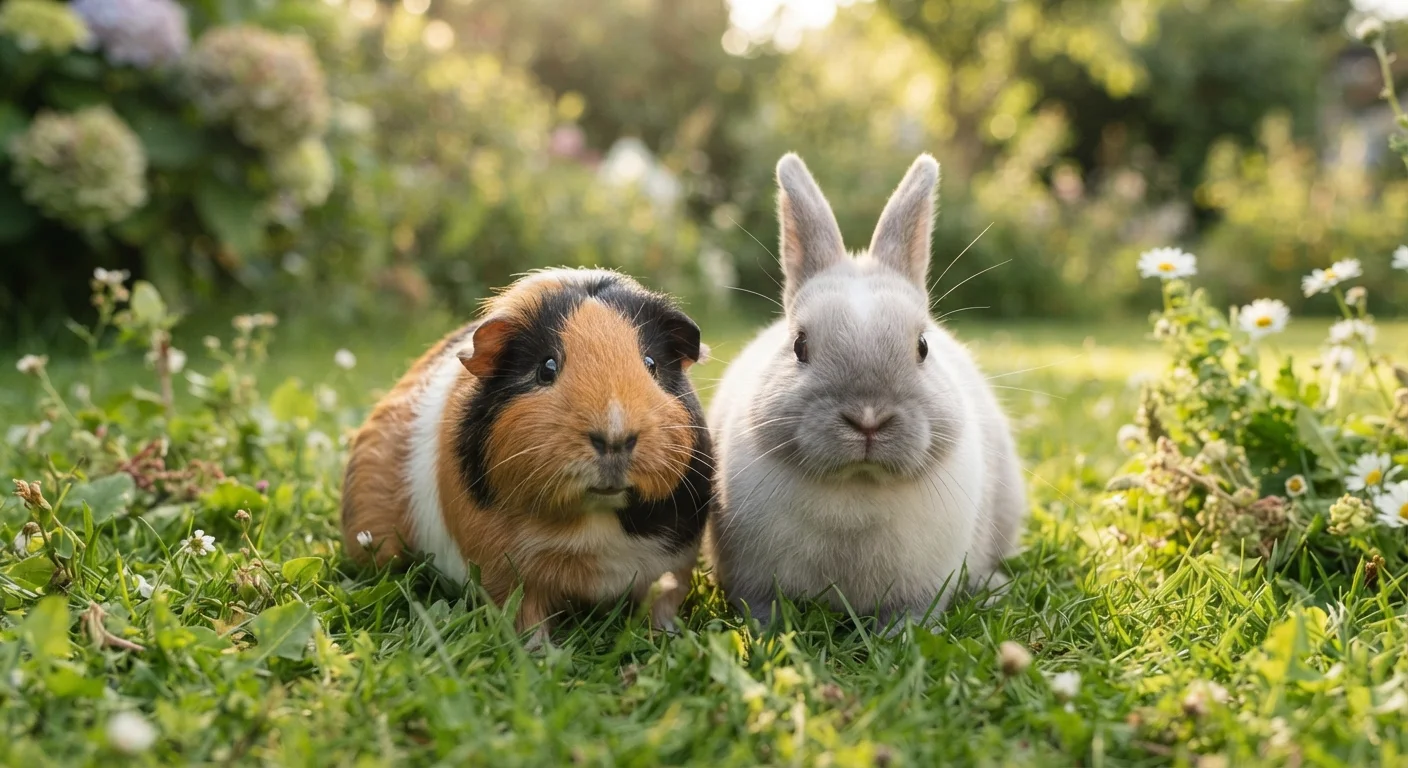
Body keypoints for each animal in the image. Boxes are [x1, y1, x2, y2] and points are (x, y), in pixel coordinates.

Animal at [341, 268, 713, 645]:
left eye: (651, 364)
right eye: (546, 368)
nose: (614, 436)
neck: (595, 521)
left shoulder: (673, 566)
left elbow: (663, 604)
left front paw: (668, 639)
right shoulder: (507, 573)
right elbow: (527, 616)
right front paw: (540, 651)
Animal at [706, 153, 1026, 628]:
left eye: (922, 347)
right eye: (799, 346)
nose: (869, 419)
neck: (856, 486)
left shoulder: (920, 591)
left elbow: (910, 617)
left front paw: (899, 637)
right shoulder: (752, 581)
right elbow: (762, 608)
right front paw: (765, 632)